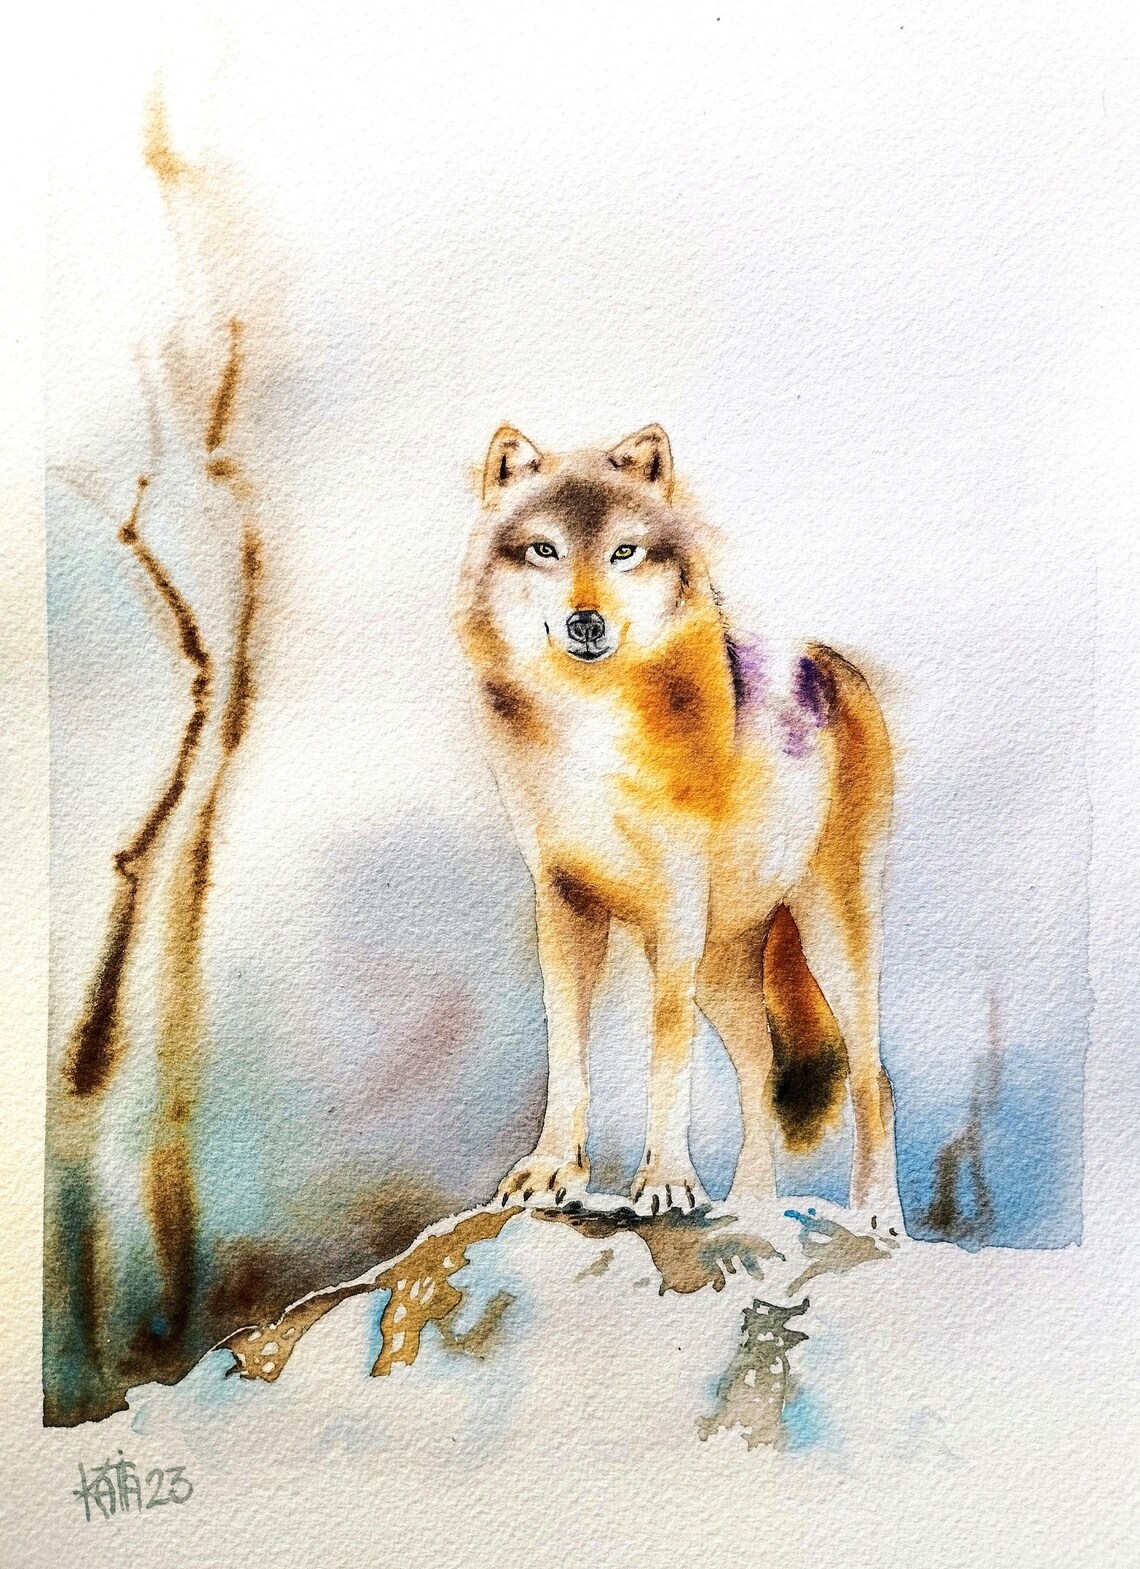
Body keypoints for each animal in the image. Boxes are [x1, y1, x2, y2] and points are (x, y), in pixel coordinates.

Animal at [455, 424, 902, 1230]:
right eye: (545, 550)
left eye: (624, 552)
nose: (587, 622)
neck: (593, 734)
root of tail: (834, 663)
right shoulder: (562, 903)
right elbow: (566, 1047)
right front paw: (550, 1171)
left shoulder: (676, 911)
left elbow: (666, 1052)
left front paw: (665, 1183)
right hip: (725, 967)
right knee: (760, 1069)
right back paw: (751, 1210)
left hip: (830, 935)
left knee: (871, 1075)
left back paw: (878, 1217)